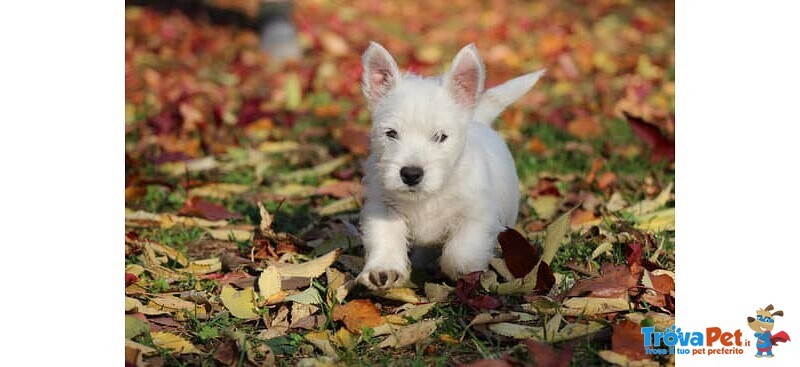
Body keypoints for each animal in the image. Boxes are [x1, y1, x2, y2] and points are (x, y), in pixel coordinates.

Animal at [356, 42, 544, 290]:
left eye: (440, 137)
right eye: (391, 134)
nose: (411, 174)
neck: (429, 197)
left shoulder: (477, 215)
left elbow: (460, 254)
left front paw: (463, 271)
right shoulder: (382, 207)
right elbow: (385, 236)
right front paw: (384, 269)